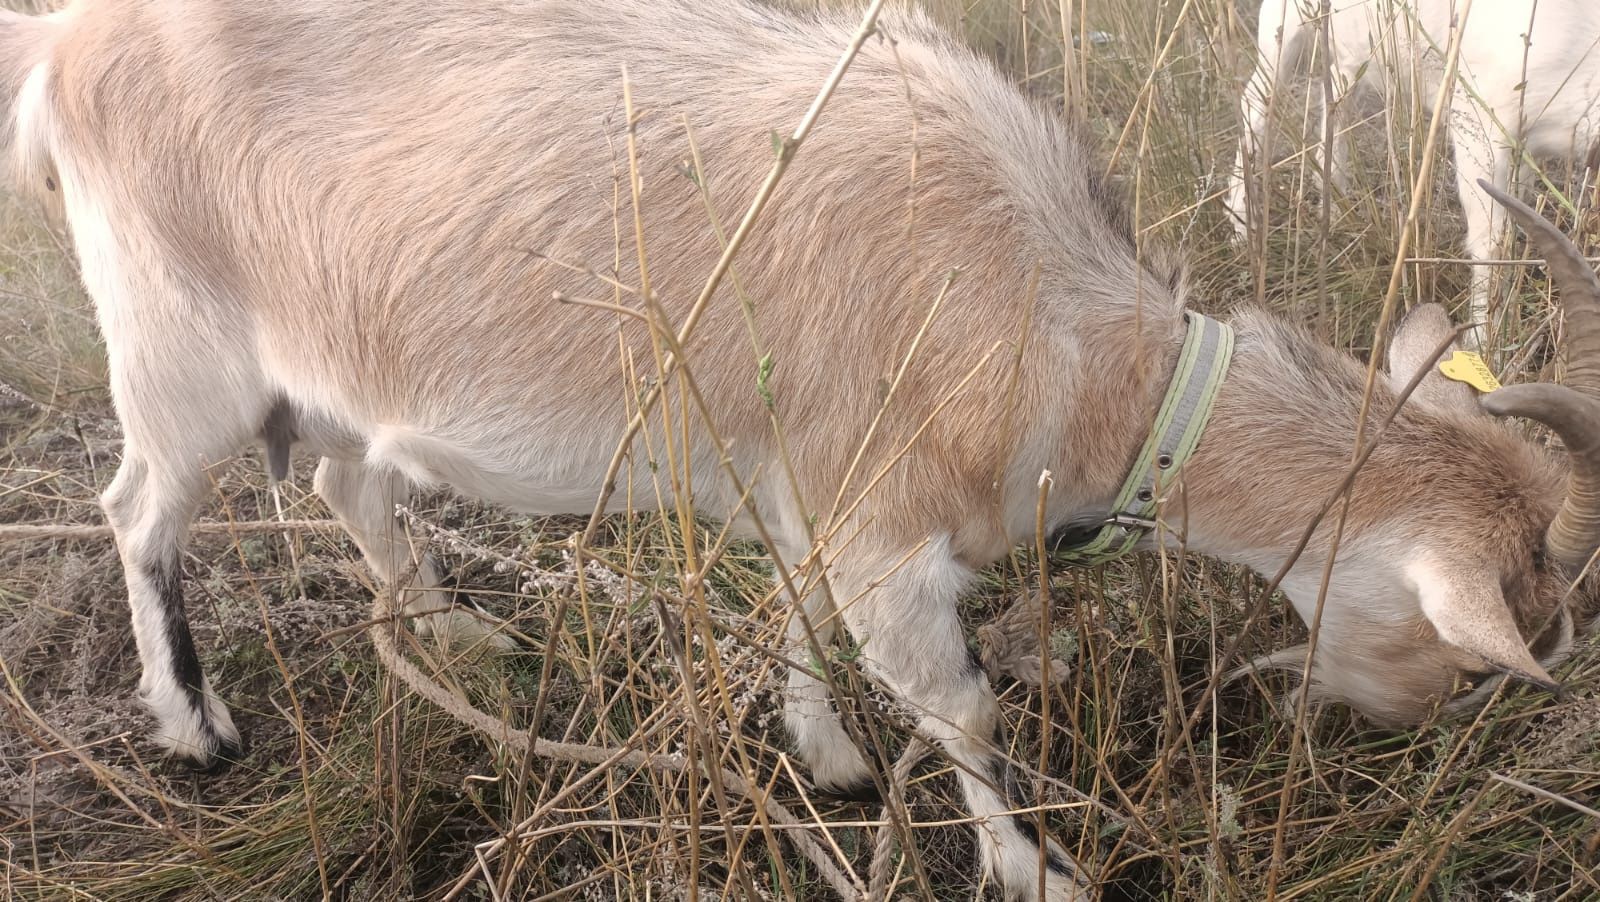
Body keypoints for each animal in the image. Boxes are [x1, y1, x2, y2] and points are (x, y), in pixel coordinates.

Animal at [0, 1, 1593, 902]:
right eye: (1476, 659)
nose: (1395, 736)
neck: (1088, 348)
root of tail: (66, 38)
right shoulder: (886, 523)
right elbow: (958, 707)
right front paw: (1031, 865)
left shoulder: (805, 489)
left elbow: (797, 614)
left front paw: (823, 753)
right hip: (176, 339)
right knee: (137, 506)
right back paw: (195, 722)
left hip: (332, 360)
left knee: (345, 478)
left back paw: (461, 640)